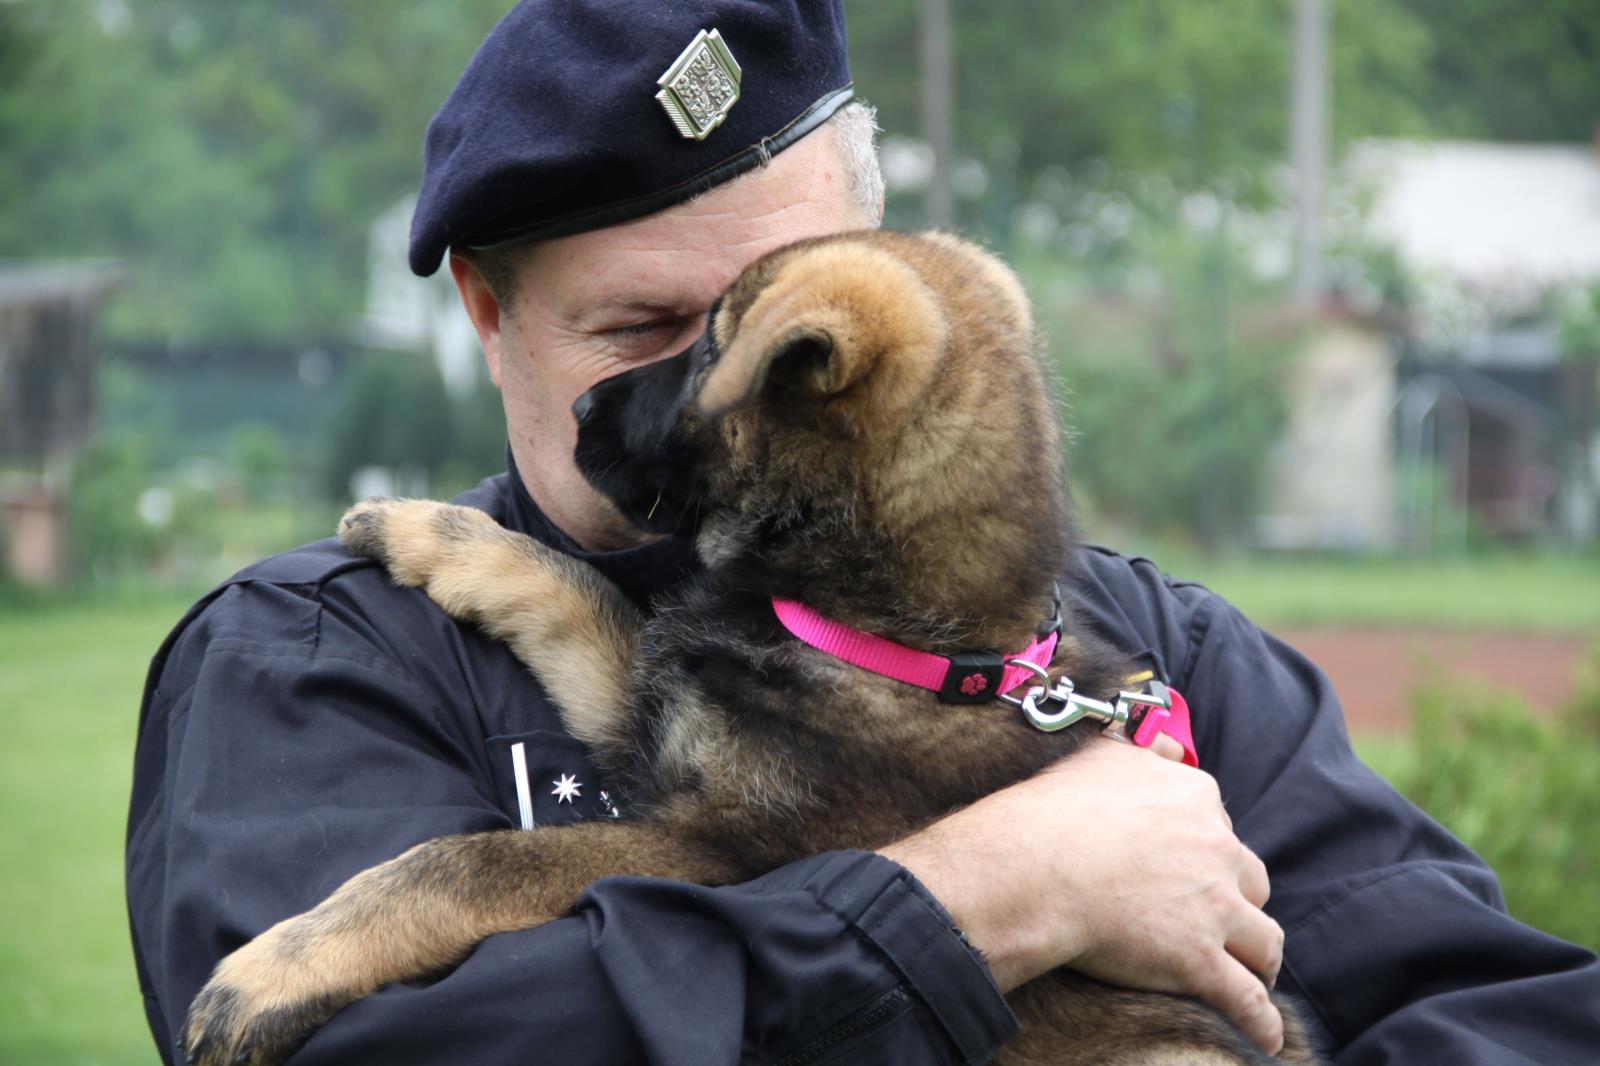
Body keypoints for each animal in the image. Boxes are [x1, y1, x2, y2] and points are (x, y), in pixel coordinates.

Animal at [184, 228, 1312, 1056]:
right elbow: (577, 592)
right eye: (654, 327)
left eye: (704, 343)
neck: (887, 638)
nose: (582, 402)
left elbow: (475, 862)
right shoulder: (650, 715)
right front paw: (425, 528)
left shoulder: (723, 850)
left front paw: (273, 971)